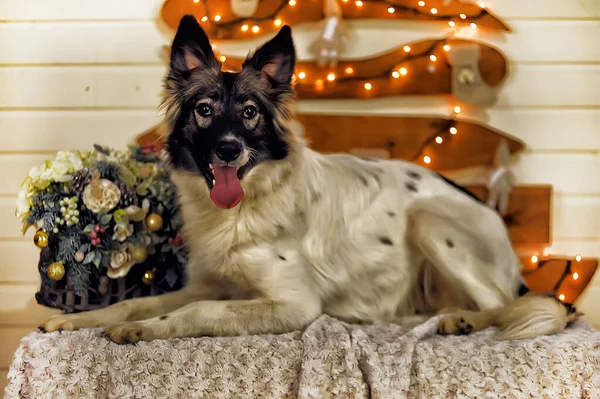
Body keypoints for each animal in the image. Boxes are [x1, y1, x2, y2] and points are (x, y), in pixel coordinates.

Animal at [39, 17, 580, 346]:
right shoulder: (207, 283)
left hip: (429, 220)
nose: (229, 150)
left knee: (504, 304)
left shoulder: (294, 304)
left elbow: (200, 313)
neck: (244, 206)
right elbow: (138, 300)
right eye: (204, 110)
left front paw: (147, 330)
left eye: (251, 113)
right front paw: (81, 318)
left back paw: (462, 320)